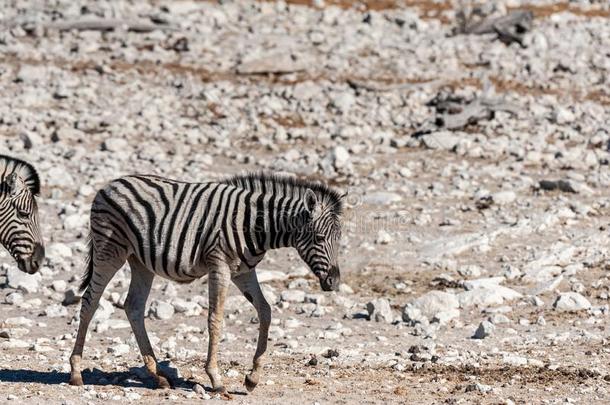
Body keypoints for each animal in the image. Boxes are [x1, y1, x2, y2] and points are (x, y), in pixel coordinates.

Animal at [69, 171, 344, 394]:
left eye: (339, 239)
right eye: (319, 238)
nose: (334, 282)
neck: (254, 225)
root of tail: (108, 185)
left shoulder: (243, 271)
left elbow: (265, 311)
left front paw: (252, 378)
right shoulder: (219, 264)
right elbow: (215, 318)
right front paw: (216, 379)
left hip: (140, 262)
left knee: (133, 307)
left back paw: (158, 376)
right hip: (110, 250)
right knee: (90, 302)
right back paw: (75, 373)